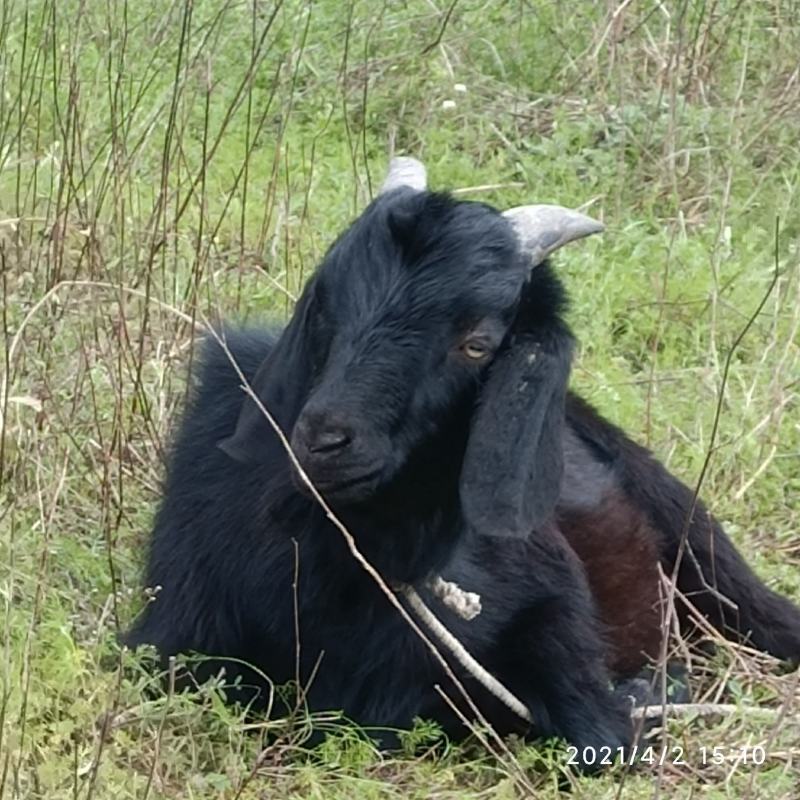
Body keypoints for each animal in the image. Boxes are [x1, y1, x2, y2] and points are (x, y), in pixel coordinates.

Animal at [126, 158, 800, 768]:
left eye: (477, 342)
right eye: (326, 306)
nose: (324, 441)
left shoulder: (554, 609)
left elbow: (601, 734)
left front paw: (646, 695)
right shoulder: (173, 630)